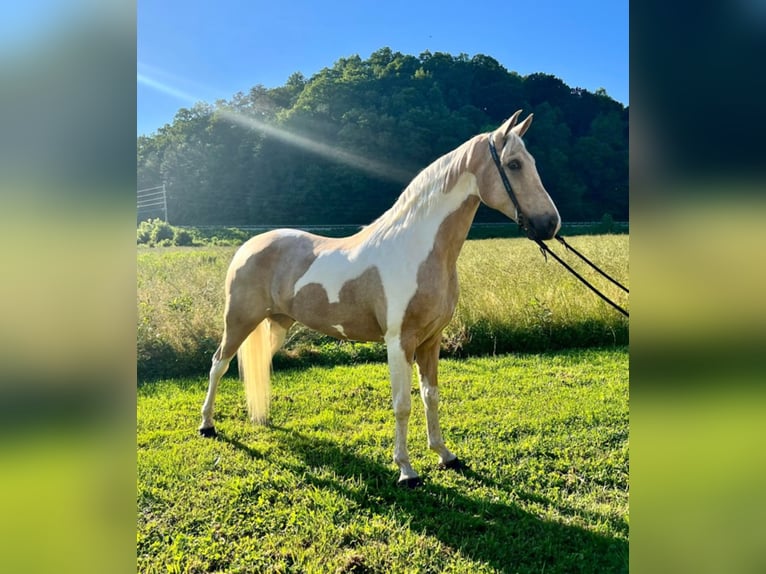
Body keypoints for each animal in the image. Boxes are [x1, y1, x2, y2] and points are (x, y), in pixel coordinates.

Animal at [198, 110, 560, 488]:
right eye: (514, 164)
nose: (550, 224)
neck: (417, 249)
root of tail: (248, 246)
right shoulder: (399, 341)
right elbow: (402, 404)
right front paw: (406, 470)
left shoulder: (431, 340)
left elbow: (431, 397)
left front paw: (445, 455)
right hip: (239, 320)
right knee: (219, 364)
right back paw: (207, 425)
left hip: (278, 323)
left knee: (256, 365)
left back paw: (260, 416)